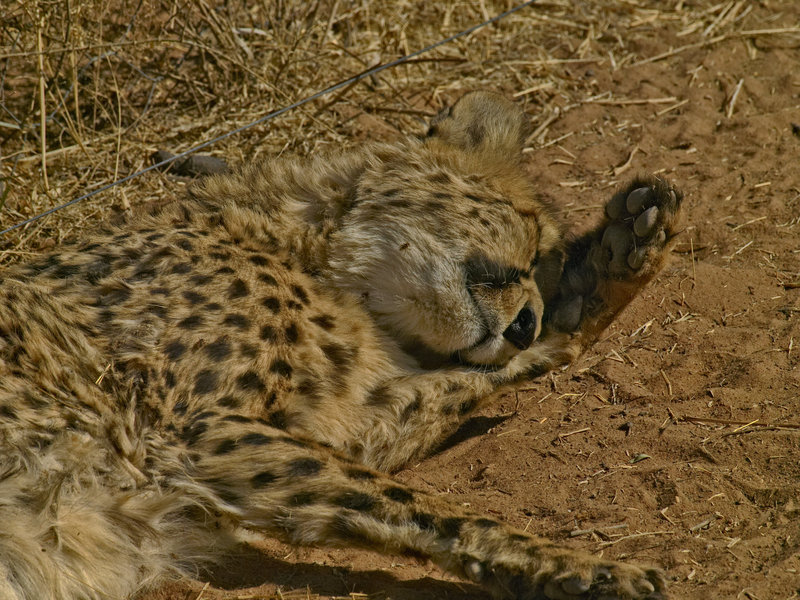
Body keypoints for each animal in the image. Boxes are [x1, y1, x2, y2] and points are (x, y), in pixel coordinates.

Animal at [0, 91, 682, 600]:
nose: (524, 324)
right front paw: (593, 567)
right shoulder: (189, 431)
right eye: (530, 231)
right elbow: (418, 503)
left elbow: (441, 411)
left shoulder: (314, 423)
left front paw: (610, 266)